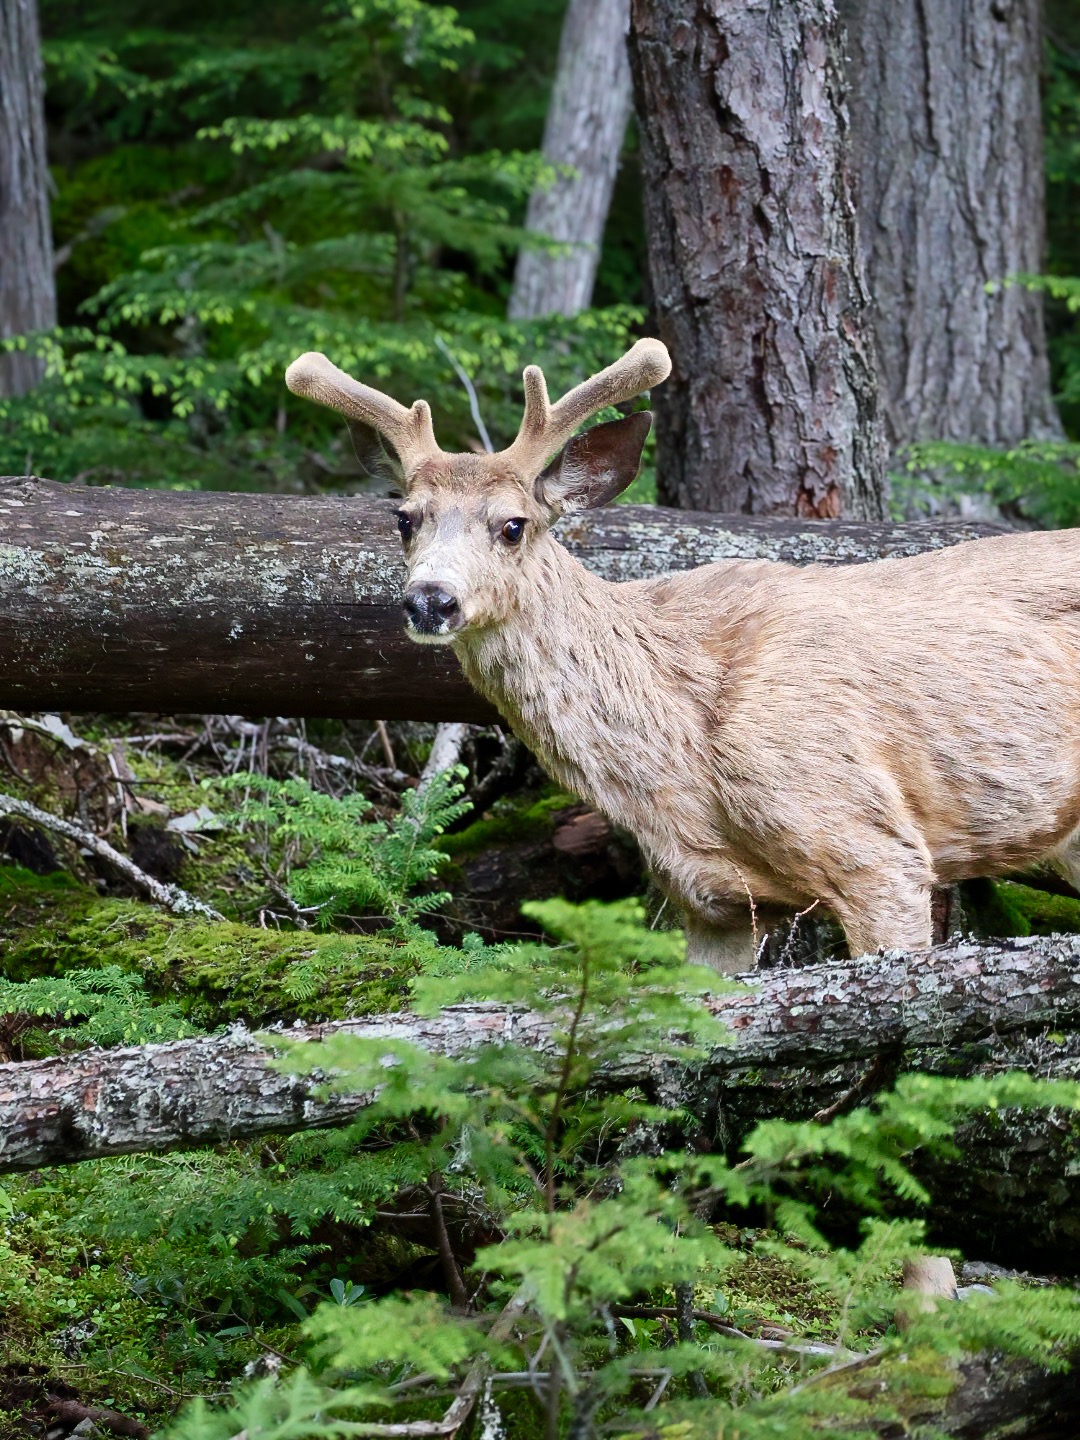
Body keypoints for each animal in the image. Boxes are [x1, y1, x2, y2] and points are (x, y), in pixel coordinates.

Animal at [285, 339, 1080, 973]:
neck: (682, 757)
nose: (431, 601)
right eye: (404, 518)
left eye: (513, 525)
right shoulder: (710, 900)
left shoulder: (876, 848)